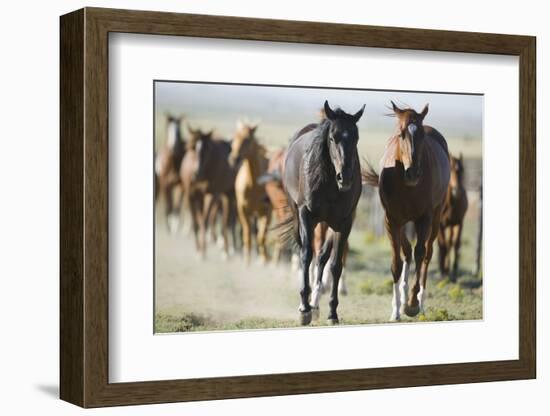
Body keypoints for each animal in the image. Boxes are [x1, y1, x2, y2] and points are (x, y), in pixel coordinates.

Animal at [280, 101, 366, 324]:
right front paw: (304, 308)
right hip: (298, 217)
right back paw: (308, 303)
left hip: (327, 223)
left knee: (322, 257)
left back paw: (316, 304)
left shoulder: (344, 223)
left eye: (356, 137)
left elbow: (335, 264)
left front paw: (332, 313)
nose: (345, 177)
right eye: (332, 137)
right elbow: (306, 255)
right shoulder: (306, 216)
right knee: (307, 252)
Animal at [364, 101, 450, 322]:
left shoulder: (424, 219)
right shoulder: (391, 220)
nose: (412, 173)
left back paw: (420, 302)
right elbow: (397, 262)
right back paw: (400, 300)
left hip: (435, 218)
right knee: (407, 251)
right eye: (401, 133)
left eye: (421, 134)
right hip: (402, 223)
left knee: (426, 254)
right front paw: (396, 310)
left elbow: (420, 254)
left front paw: (411, 304)